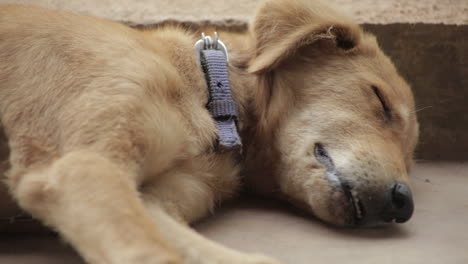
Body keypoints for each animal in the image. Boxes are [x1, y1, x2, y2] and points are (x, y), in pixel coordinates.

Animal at [0, 0, 416, 262]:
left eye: (411, 158)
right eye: (380, 100)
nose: (404, 203)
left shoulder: (152, 200)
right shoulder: (80, 166)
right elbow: (149, 251)